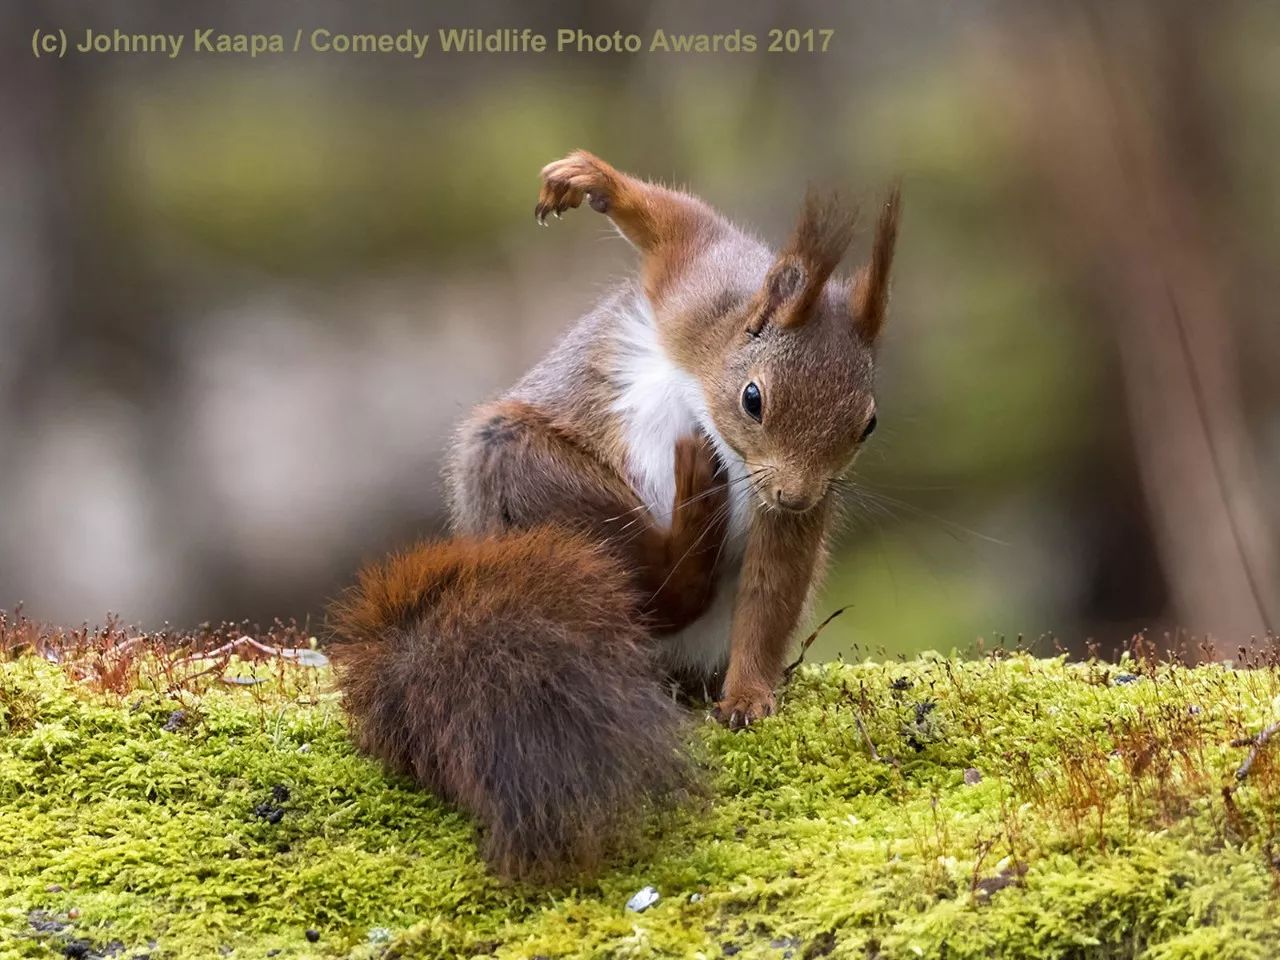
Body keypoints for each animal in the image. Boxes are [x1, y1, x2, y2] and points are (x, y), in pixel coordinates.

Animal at [330, 154, 901, 885]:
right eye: (754, 399)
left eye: (868, 424)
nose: (797, 496)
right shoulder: (697, 284)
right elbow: (675, 221)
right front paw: (588, 181)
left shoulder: (787, 512)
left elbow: (772, 592)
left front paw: (748, 696)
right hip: (522, 468)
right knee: (655, 588)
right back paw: (691, 518)